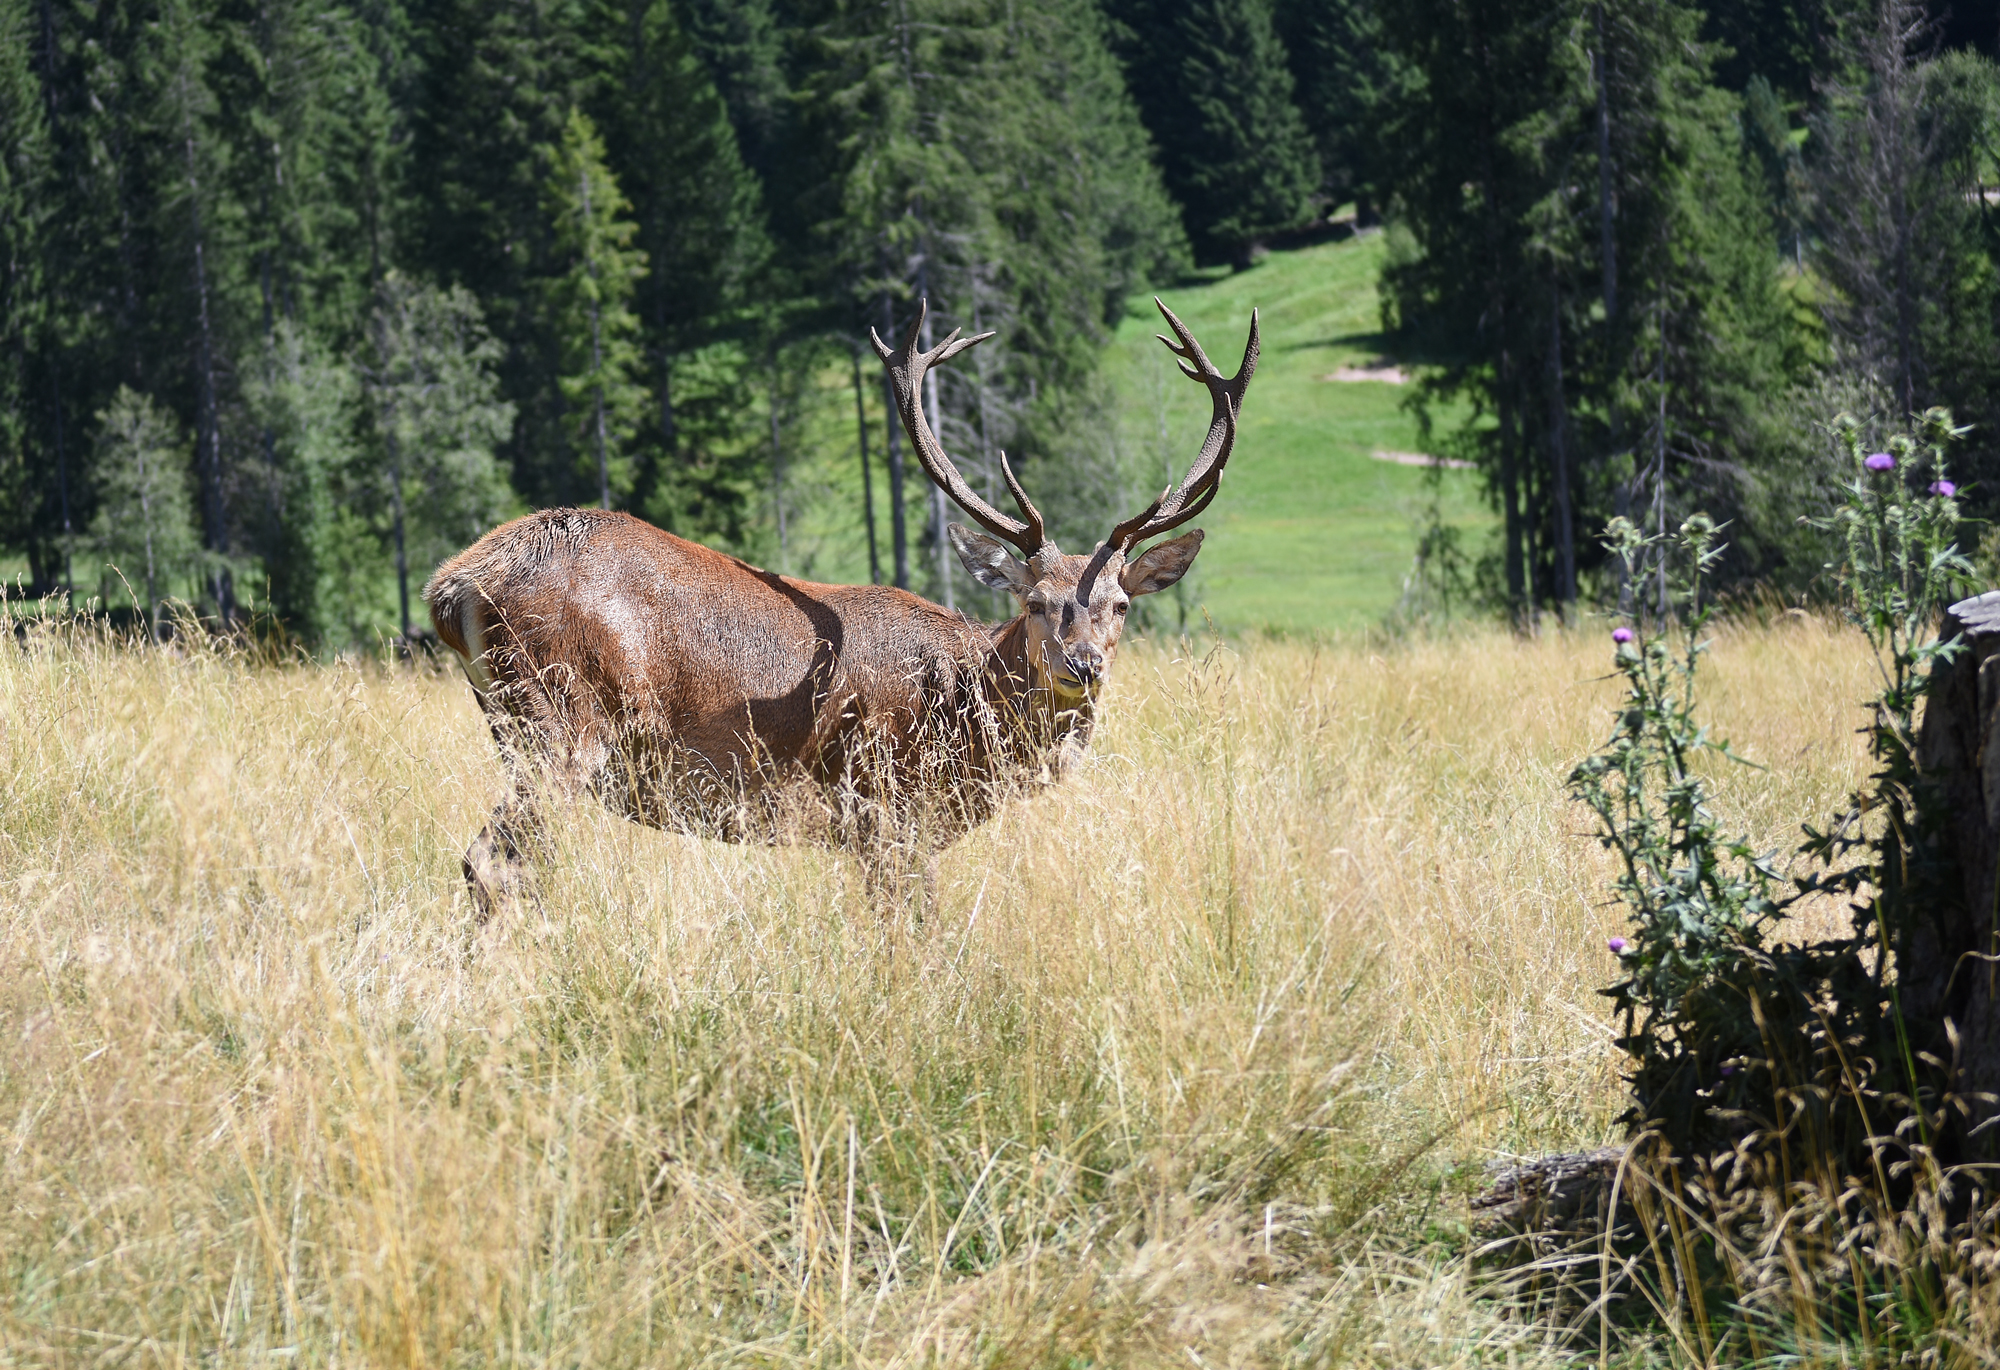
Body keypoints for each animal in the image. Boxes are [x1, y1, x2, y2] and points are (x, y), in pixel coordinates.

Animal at [423, 297, 1258, 918]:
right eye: (1036, 601)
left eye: (1120, 604)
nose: (1082, 666)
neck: (966, 716)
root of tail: (451, 584)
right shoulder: (884, 810)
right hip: (561, 720)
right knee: (490, 863)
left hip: (522, 728)